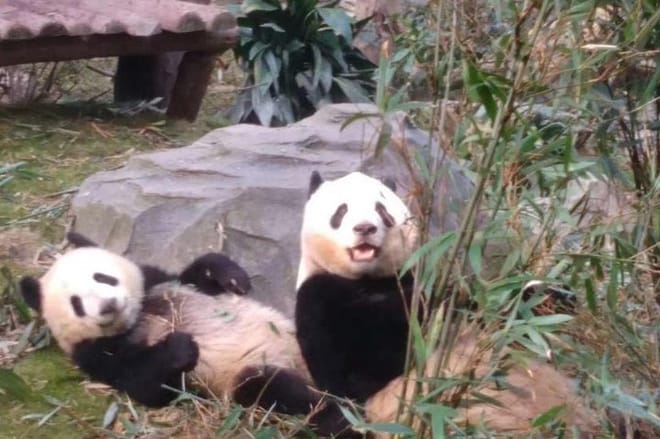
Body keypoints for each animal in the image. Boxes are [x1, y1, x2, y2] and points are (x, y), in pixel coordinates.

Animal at [18, 235, 323, 419]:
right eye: (77, 303)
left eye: (102, 277)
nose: (108, 306)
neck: (137, 318)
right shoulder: (95, 354)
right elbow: (146, 384)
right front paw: (180, 346)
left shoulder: (159, 283)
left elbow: (194, 277)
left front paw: (231, 276)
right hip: (244, 376)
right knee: (273, 388)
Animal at [295, 171, 598, 438]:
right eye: (341, 211)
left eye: (381, 209)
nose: (365, 228)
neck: (368, 279)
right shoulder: (319, 300)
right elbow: (360, 369)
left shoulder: (423, 283)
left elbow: (493, 312)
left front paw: (552, 297)